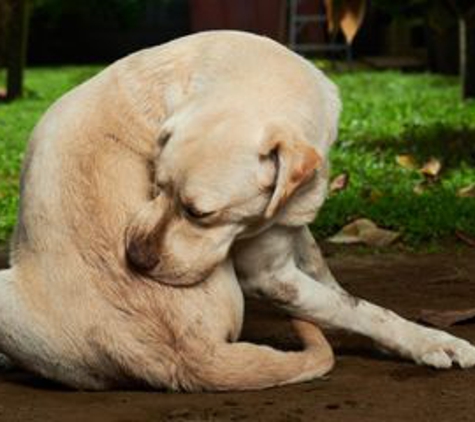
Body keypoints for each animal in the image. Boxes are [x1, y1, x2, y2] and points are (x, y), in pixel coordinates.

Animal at [0, 31, 474, 390]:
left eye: (200, 214)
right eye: (155, 186)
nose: (133, 258)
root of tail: (189, 358)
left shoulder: (289, 232)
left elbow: (333, 284)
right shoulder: (271, 277)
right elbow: (360, 308)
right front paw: (429, 340)